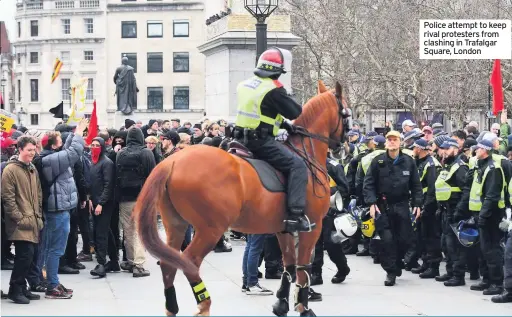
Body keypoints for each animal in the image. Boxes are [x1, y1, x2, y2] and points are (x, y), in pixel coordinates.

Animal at [133, 80, 348, 314]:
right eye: (346, 113)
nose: (343, 146)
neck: (304, 153)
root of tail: (171, 162)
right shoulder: (312, 227)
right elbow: (303, 268)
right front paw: (303, 306)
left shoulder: (283, 228)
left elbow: (290, 265)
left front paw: (281, 303)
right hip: (210, 229)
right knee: (189, 261)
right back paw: (204, 304)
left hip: (175, 224)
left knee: (169, 263)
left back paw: (172, 307)